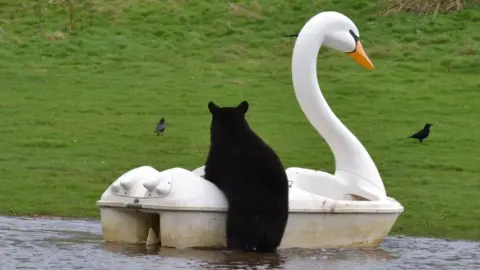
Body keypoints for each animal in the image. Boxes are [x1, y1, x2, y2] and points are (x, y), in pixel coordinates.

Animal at [202, 100, 288, 253]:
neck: (233, 132)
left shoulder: (216, 161)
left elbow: (210, 175)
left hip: (243, 219)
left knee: (237, 238)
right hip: (278, 224)